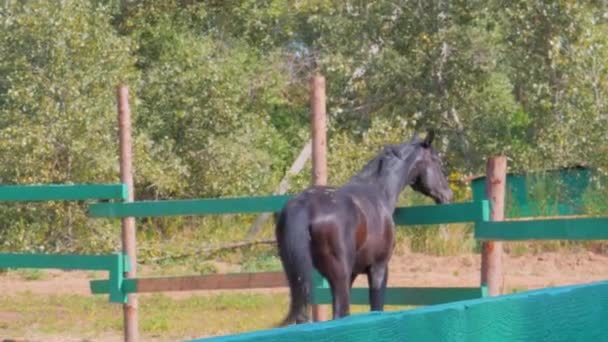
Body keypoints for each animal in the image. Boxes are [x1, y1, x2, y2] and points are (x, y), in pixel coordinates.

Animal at [276, 130, 452, 324]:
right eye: (437, 161)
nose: (448, 194)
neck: (379, 192)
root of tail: (304, 205)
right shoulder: (378, 269)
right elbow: (376, 308)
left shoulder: (353, 274)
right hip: (339, 276)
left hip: (299, 279)